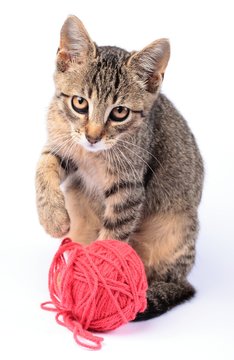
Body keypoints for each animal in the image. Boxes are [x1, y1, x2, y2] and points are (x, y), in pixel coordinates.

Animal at [35, 15, 204, 320]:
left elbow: (111, 240)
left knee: (170, 280)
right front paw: (52, 217)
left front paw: (96, 285)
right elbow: (43, 165)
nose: (93, 137)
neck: (94, 156)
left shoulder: (129, 188)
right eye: (80, 103)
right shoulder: (63, 147)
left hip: (178, 229)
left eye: (120, 112)